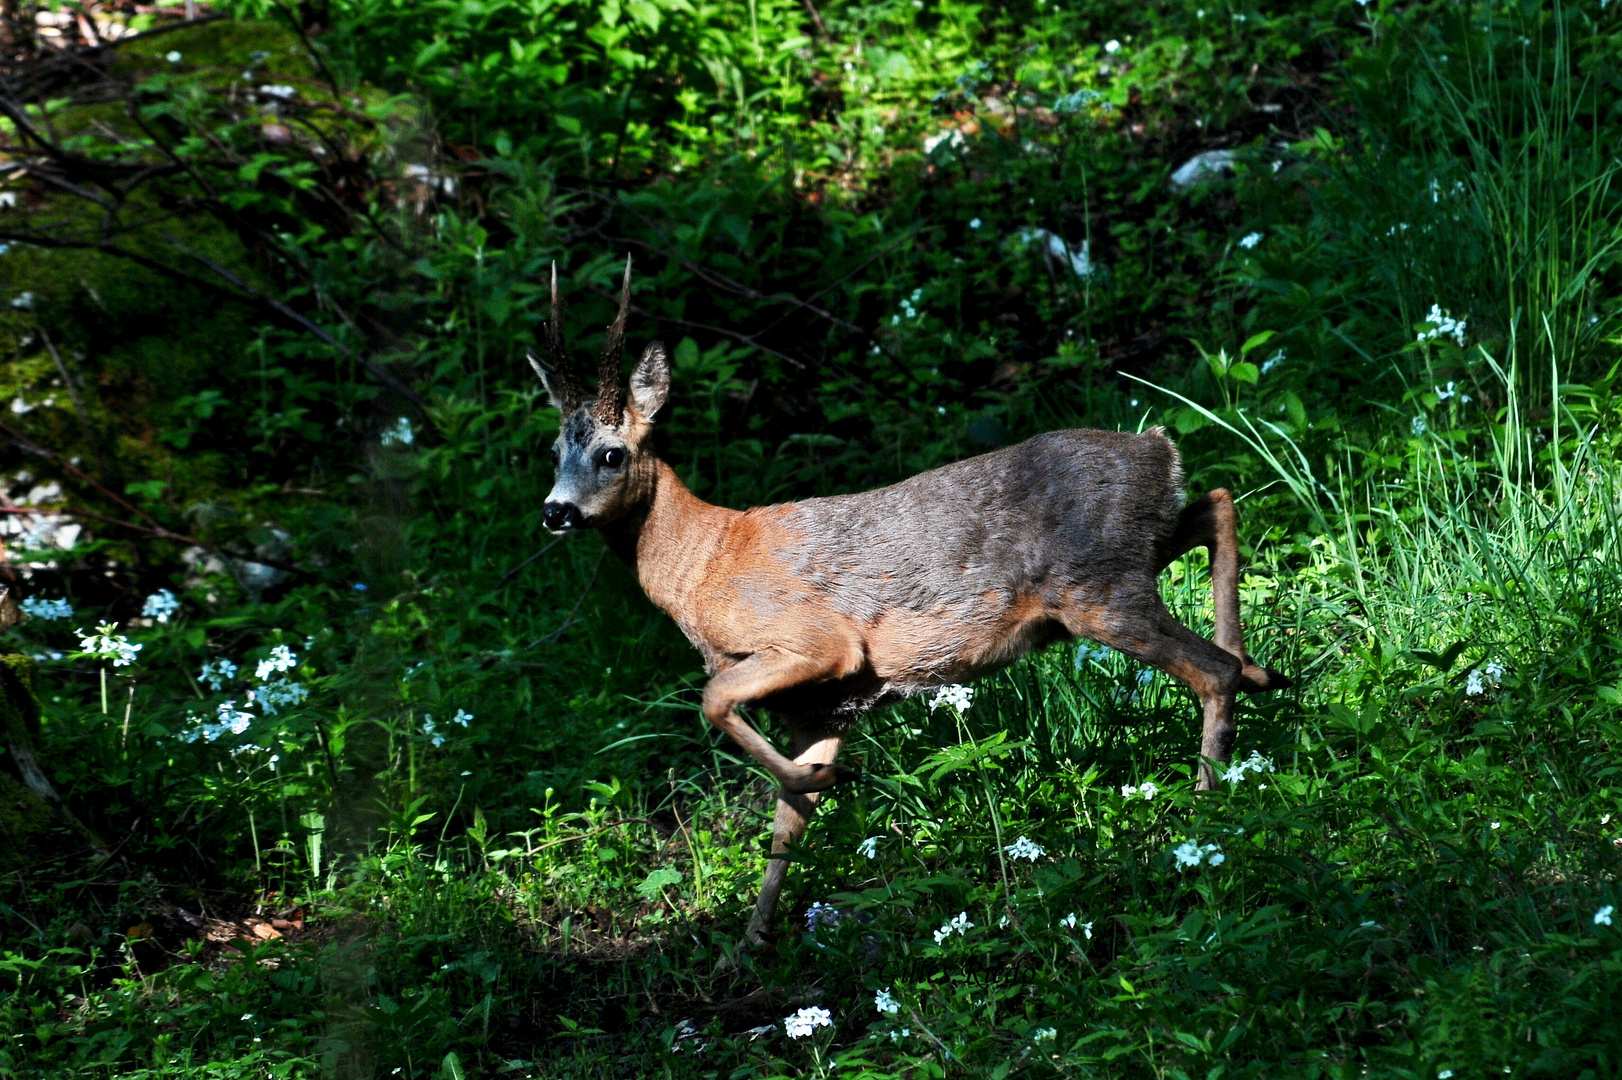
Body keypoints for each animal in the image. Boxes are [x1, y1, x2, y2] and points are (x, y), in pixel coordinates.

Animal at [532, 256, 1291, 940]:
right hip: (1130, 559)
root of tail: (1160, 450)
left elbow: (715, 701)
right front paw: (746, 947)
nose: (554, 512)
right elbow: (785, 825)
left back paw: (1202, 819)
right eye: (554, 452)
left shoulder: (817, 643)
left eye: (611, 454)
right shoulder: (816, 708)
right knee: (1217, 503)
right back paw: (1262, 670)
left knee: (1209, 668)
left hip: (1098, 589)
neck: (704, 564)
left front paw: (829, 782)